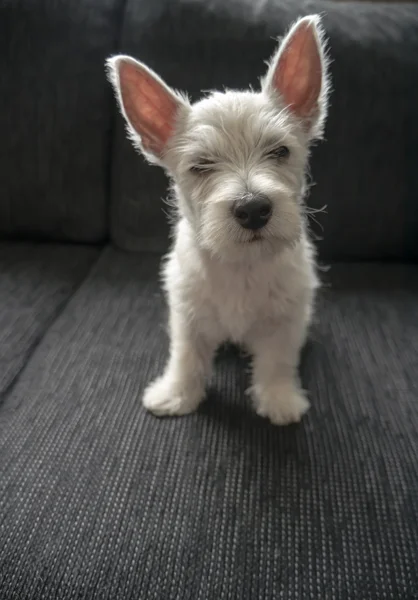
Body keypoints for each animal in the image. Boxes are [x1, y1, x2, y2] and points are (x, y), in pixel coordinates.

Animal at [107, 15, 330, 426]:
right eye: (201, 165)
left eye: (280, 151)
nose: (253, 208)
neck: (242, 265)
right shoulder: (187, 314)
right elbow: (186, 357)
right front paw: (176, 394)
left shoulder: (286, 319)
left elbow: (277, 361)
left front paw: (279, 399)